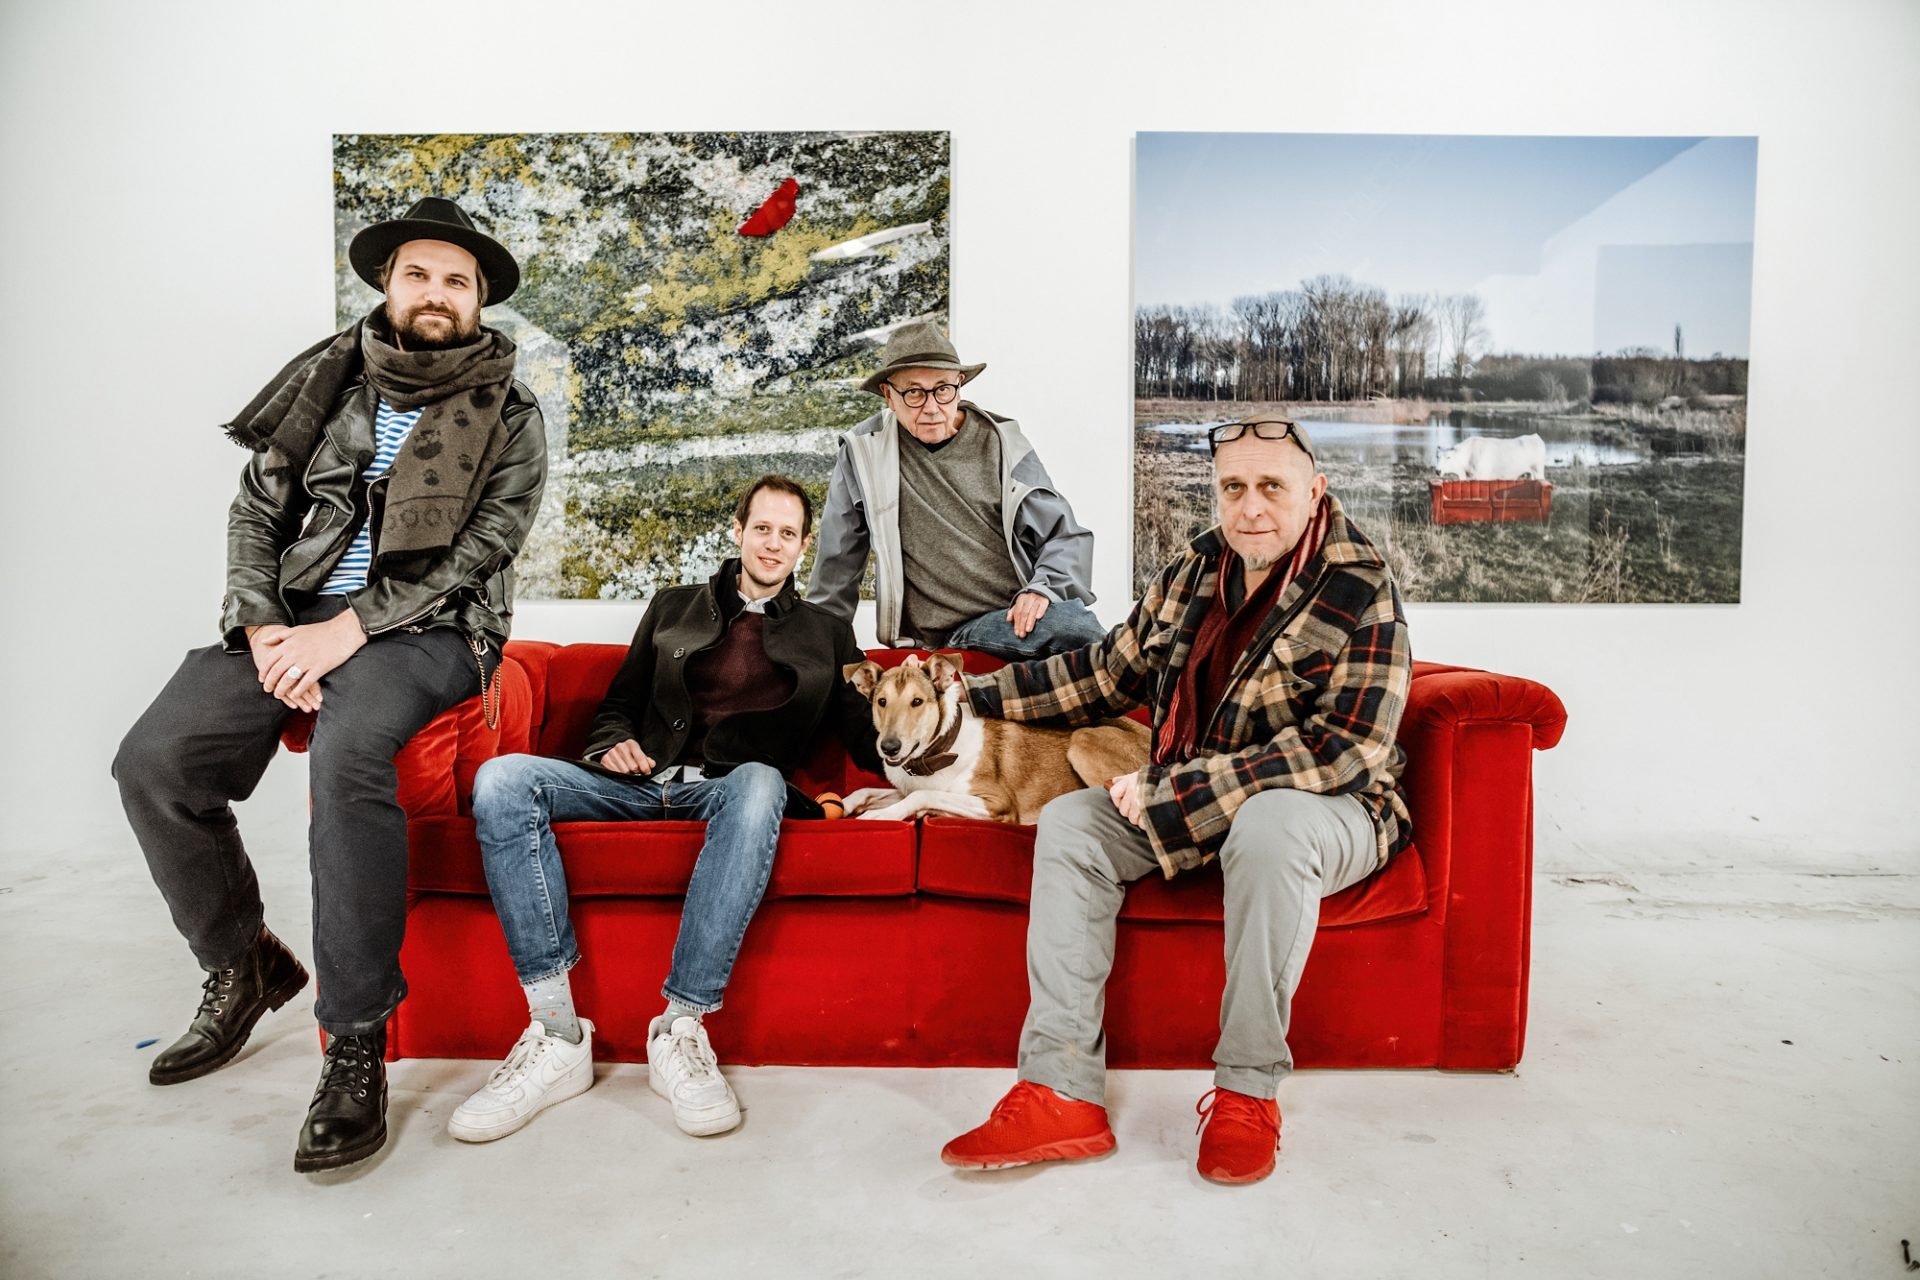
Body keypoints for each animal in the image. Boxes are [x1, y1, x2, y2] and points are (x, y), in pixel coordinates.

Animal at [837, 656, 1136, 825]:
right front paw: (843, 806)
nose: (889, 747)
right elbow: (865, 791)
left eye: (917, 702)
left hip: (1082, 740)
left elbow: (923, 795)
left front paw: (882, 816)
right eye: (881, 702)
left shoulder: (997, 803)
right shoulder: (905, 788)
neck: (941, 751)